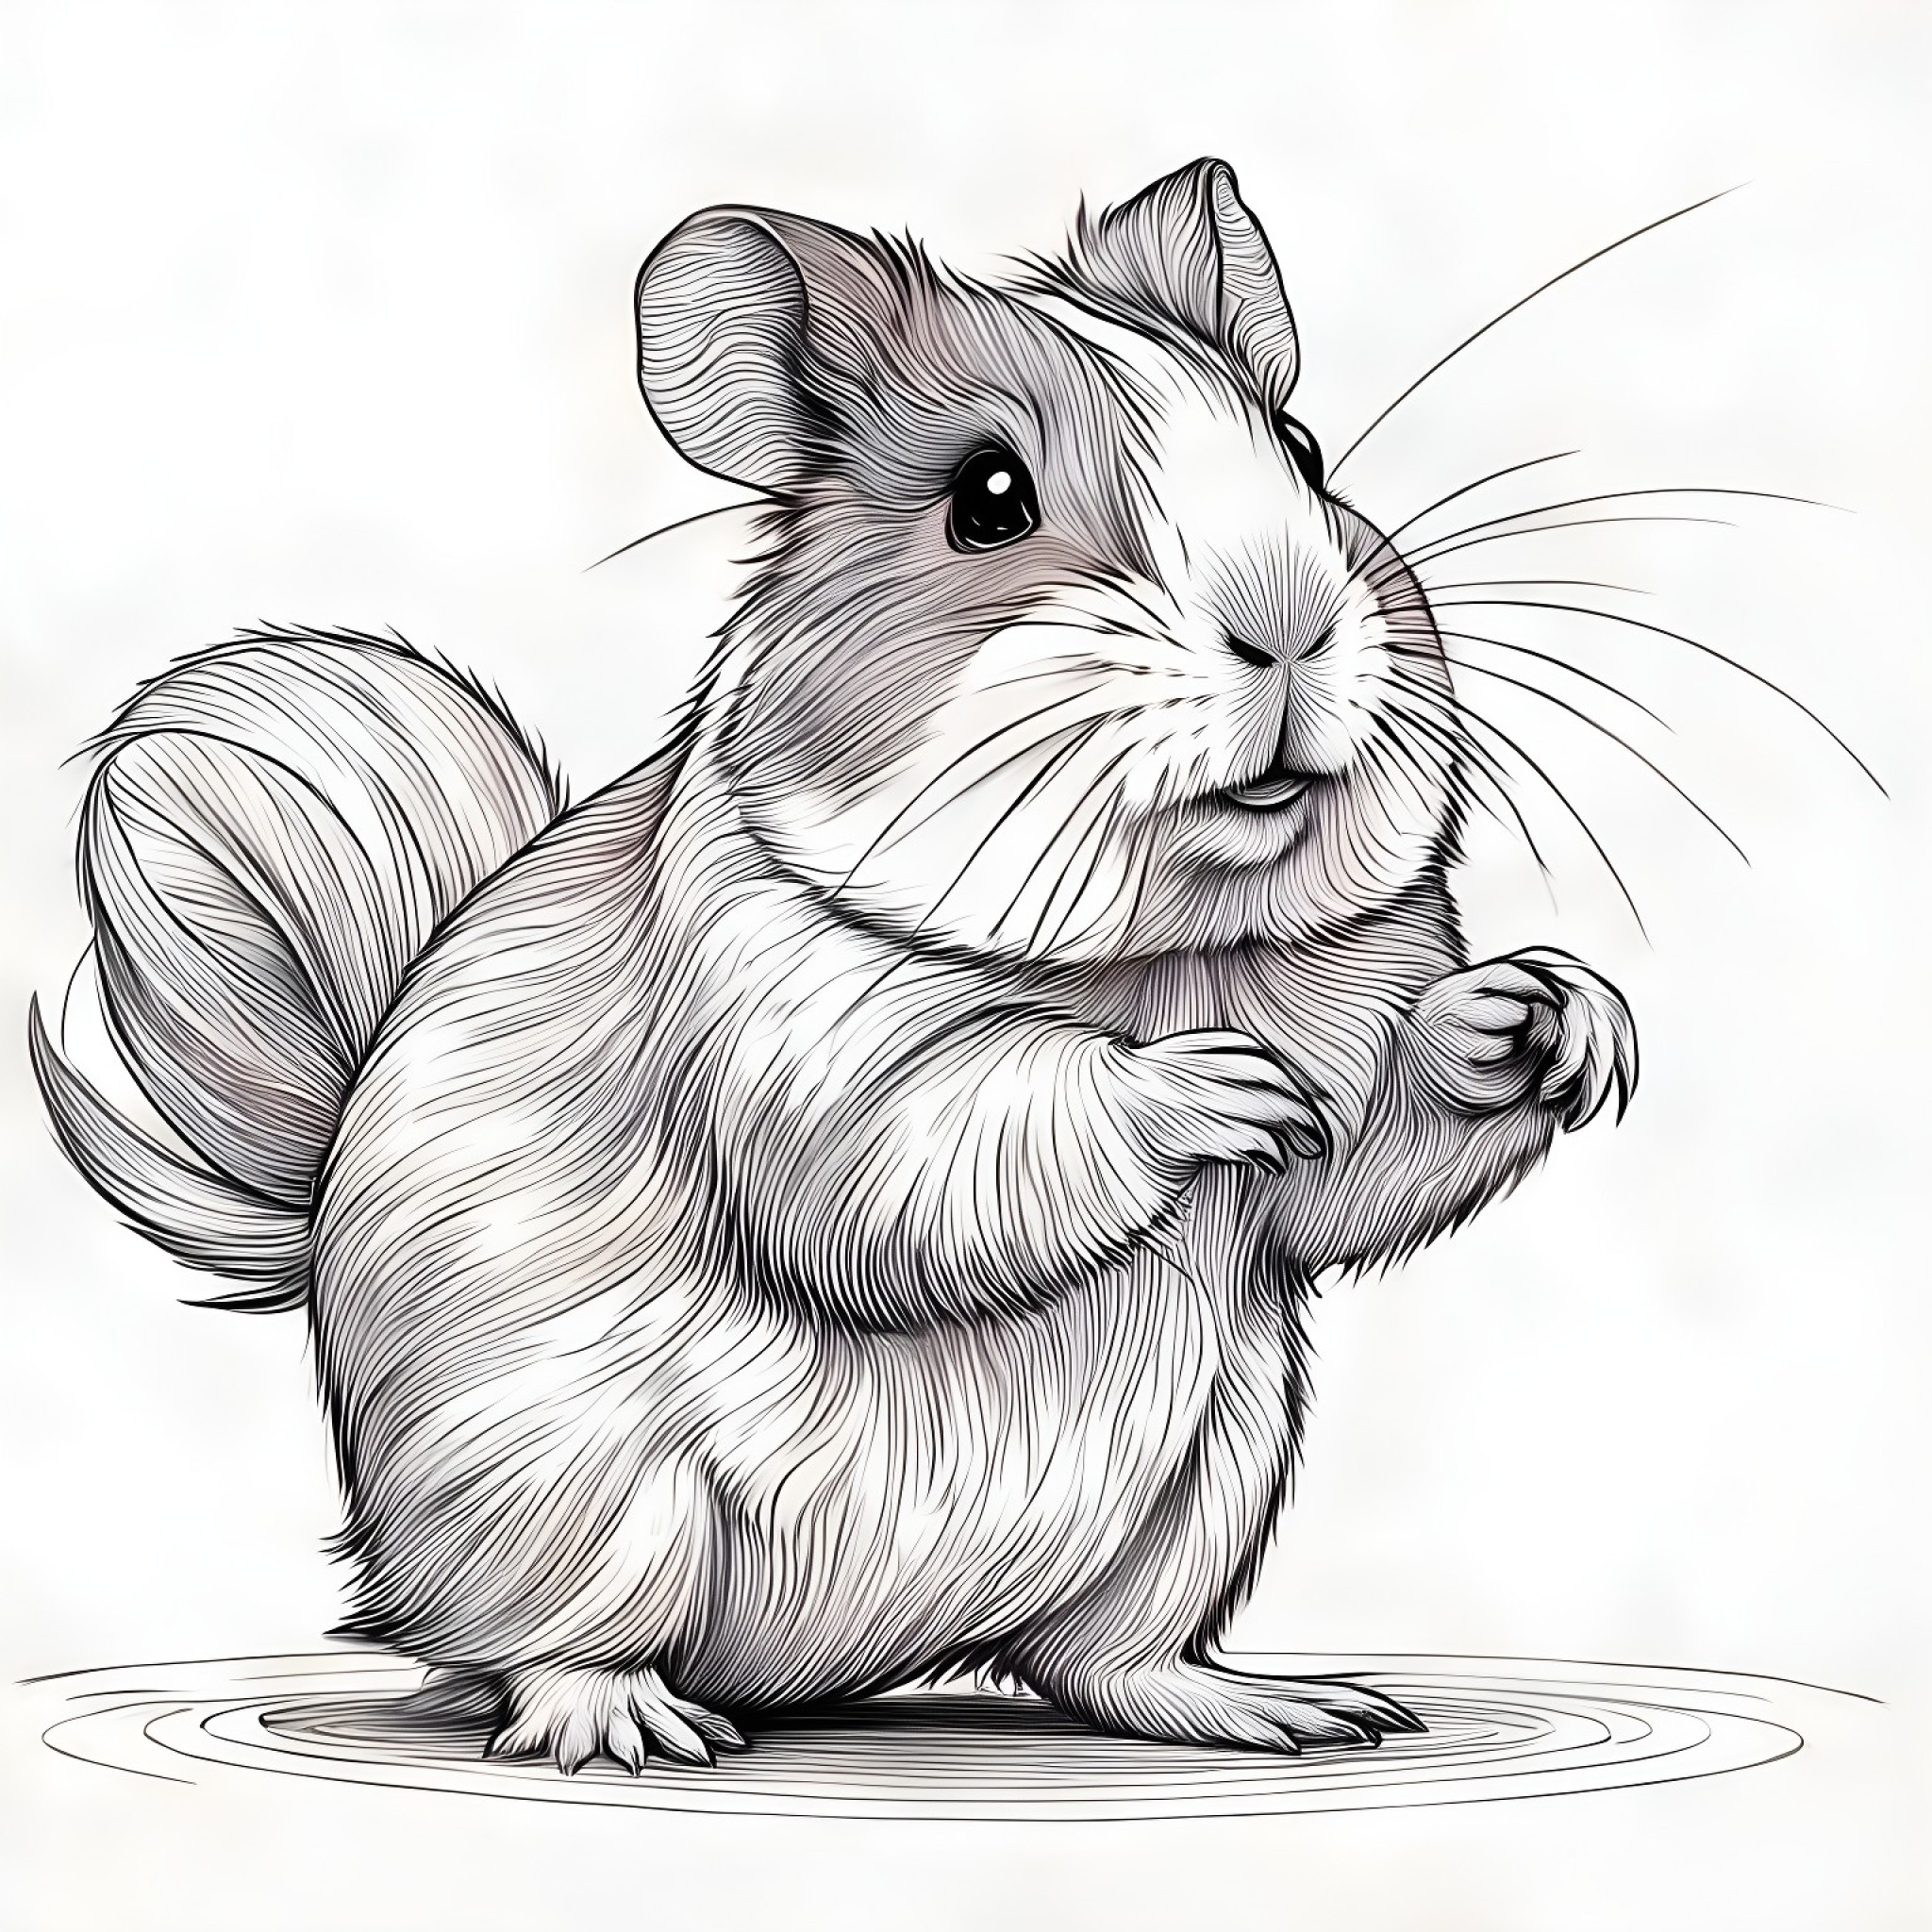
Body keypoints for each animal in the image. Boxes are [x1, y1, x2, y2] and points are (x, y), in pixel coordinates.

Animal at [31, 158, 1635, 1772]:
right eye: (987, 498)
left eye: (1301, 451)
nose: (1290, 629)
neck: (1163, 953)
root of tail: (828, 1669)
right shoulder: (801, 1047)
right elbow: (942, 1150)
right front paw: (1212, 1091)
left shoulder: (1342, 1039)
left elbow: (1363, 1158)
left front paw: (1550, 1019)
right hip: (574, 1496)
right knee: (520, 1650)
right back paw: (631, 1723)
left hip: (1213, 1477)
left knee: (1096, 1662)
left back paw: (1281, 1708)